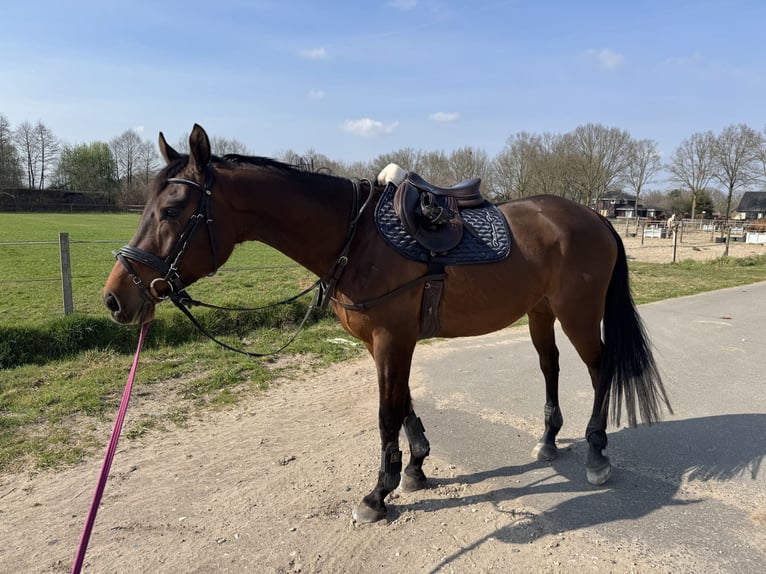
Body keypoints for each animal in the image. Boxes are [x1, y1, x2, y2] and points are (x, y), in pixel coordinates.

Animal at [103, 124, 671, 523]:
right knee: (550, 367)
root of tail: (597, 219)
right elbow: (403, 404)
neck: (356, 239)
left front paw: (379, 493)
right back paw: (549, 439)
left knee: (600, 370)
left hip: (579, 314)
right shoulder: (389, 343)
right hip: (540, 312)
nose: (115, 298)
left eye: (172, 209)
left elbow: (385, 413)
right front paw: (415, 467)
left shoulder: (392, 339)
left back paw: (596, 451)